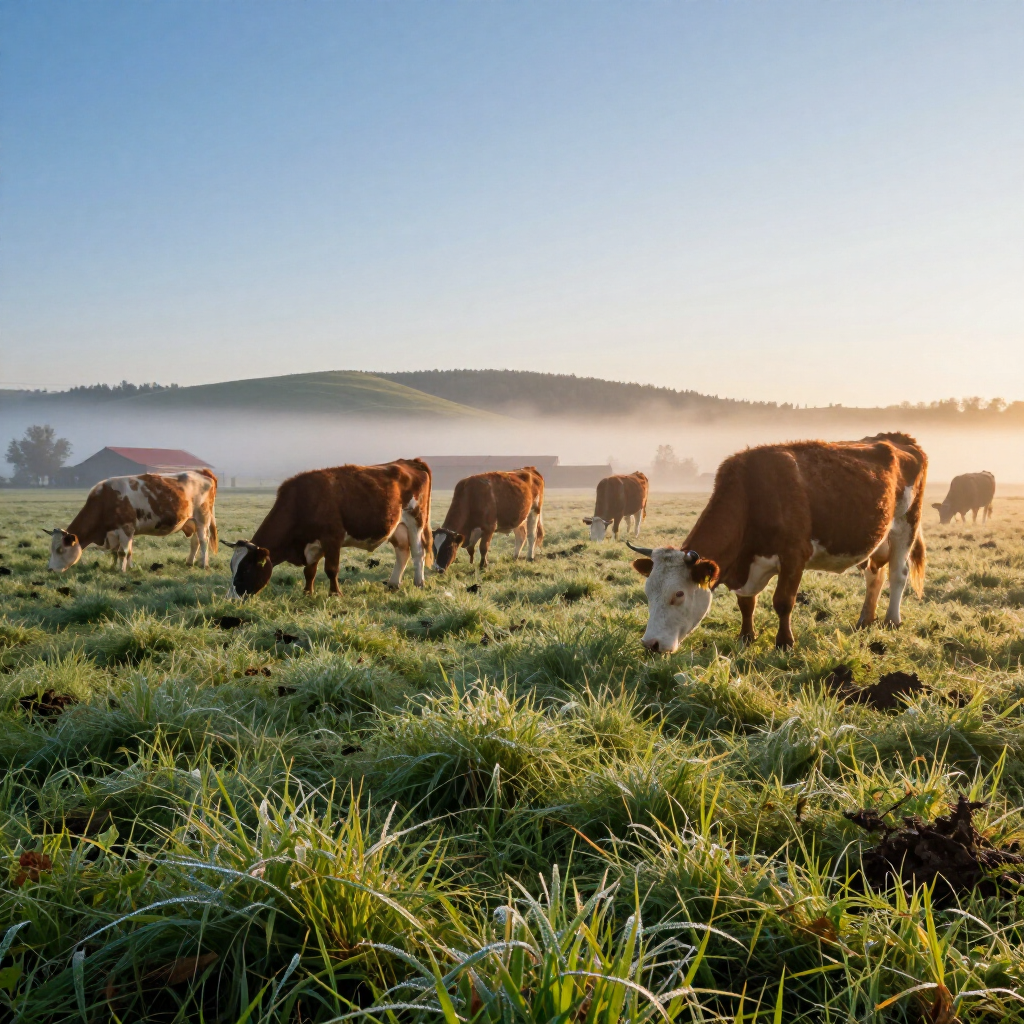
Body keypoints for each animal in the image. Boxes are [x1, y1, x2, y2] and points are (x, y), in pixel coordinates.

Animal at [47, 469, 218, 572]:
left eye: (60, 550)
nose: (50, 569)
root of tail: (201, 471)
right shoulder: (123, 531)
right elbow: (126, 551)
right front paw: (128, 567)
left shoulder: (126, 527)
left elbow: (122, 552)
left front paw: (121, 570)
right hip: (193, 521)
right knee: (195, 542)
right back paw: (189, 562)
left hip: (202, 518)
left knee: (203, 540)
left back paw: (204, 564)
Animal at [226, 459, 432, 598]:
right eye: (232, 568)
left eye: (245, 569)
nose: (231, 599)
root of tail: (410, 461)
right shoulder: (312, 543)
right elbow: (309, 571)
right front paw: (307, 592)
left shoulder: (332, 539)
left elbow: (331, 569)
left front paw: (335, 594)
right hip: (397, 526)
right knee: (402, 552)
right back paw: (393, 584)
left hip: (416, 519)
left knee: (418, 552)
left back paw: (419, 583)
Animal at [630, 433, 928, 652]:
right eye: (647, 593)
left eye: (678, 594)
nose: (650, 644)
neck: (752, 495)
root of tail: (898, 438)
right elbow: (746, 603)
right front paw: (746, 637)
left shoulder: (795, 555)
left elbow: (783, 601)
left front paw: (784, 643)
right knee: (874, 575)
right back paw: (865, 620)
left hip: (905, 524)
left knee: (898, 574)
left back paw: (891, 620)